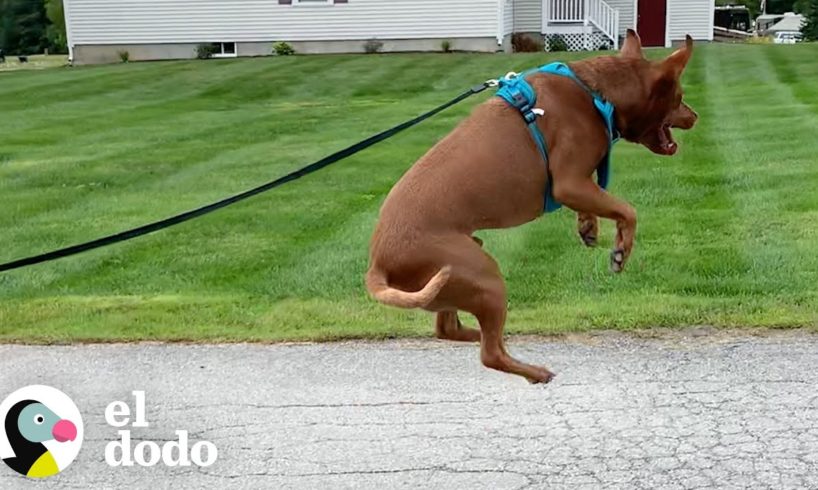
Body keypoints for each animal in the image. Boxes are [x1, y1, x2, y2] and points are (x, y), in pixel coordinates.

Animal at [366, 30, 700, 382]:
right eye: (679, 97)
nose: (695, 115)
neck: (597, 94)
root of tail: (378, 265)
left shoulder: (580, 186)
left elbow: (599, 204)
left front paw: (588, 225)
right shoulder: (569, 182)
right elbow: (627, 210)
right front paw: (621, 250)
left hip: (461, 273)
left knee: (449, 329)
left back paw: (480, 335)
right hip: (483, 274)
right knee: (490, 354)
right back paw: (534, 371)